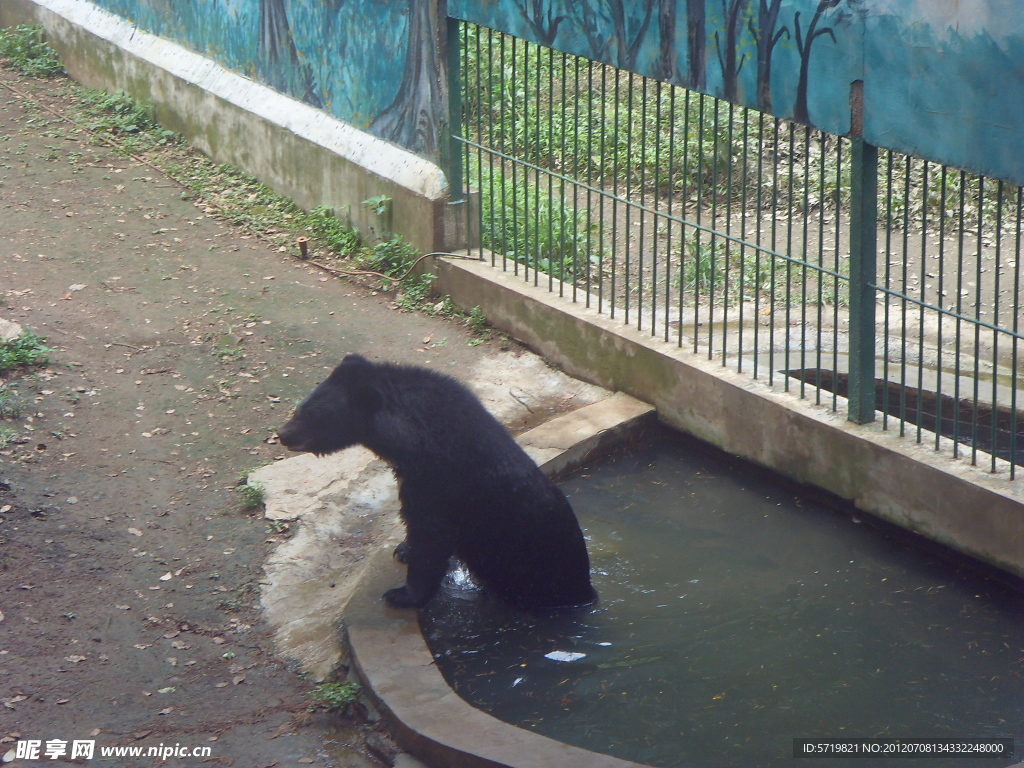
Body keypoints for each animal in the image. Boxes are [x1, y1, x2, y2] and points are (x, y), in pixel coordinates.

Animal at [278, 354, 598, 614]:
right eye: (300, 407)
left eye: (312, 416)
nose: (282, 433)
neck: (413, 440)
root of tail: (586, 590)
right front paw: (403, 549)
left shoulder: (441, 480)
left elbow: (431, 533)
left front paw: (401, 594)